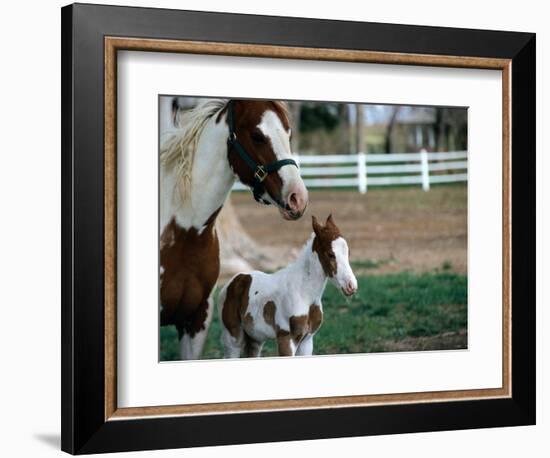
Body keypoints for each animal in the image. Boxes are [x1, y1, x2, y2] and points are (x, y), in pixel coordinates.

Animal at [222, 215, 360, 358]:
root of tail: (234, 280)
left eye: (348, 253)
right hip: (233, 337)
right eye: (330, 254)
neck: (304, 293)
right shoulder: (286, 338)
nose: (351, 286)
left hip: (255, 339)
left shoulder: (307, 340)